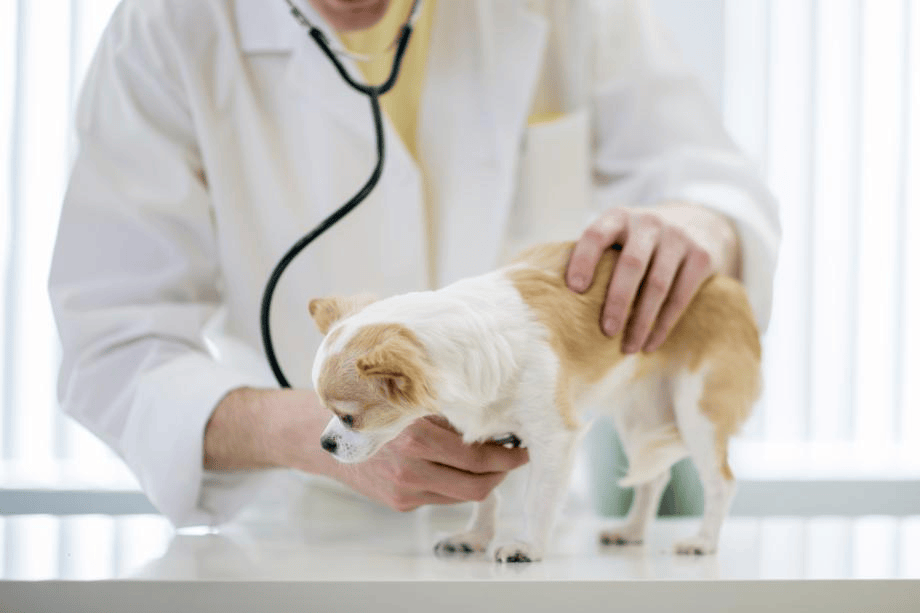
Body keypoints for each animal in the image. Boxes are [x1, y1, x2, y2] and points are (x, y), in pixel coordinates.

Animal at [308, 241, 761, 562]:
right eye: (327, 415)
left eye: (349, 418)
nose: (324, 444)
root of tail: (724, 282)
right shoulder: (484, 436)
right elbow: (486, 494)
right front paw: (475, 536)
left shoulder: (554, 439)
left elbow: (538, 499)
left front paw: (526, 546)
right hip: (640, 416)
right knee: (653, 477)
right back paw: (632, 530)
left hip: (696, 412)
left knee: (721, 482)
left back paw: (703, 540)